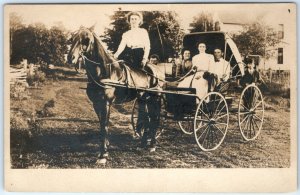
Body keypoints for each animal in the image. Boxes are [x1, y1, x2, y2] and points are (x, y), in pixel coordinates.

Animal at [67, 25, 162, 163]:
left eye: (86, 39)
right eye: (72, 38)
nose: (71, 58)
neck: (105, 72)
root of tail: (156, 69)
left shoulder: (106, 102)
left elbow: (105, 125)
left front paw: (103, 154)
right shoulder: (96, 103)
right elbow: (102, 124)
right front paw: (105, 147)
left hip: (155, 99)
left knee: (154, 118)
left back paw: (152, 145)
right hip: (143, 99)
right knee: (146, 118)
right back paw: (143, 143)